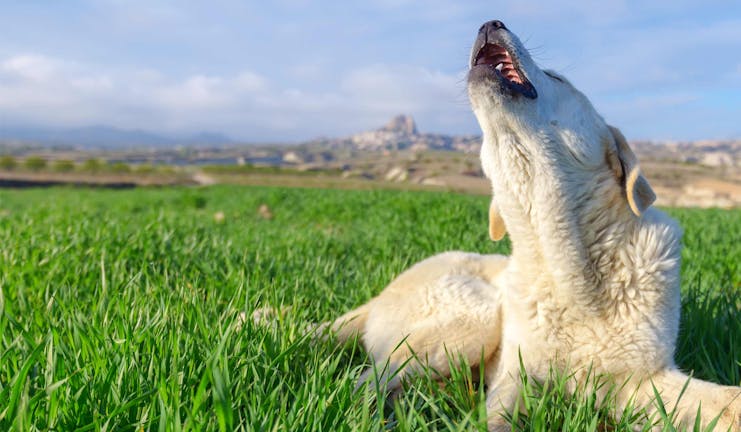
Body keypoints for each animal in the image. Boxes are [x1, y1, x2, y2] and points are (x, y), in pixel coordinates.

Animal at [304, 21, 736, 432]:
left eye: (556, 77)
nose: (488, 23)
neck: (572, 274)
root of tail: (378, 296)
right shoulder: (517, 378)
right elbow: (497, 420)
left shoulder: (644, 379)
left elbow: (728, 400)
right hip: (474, 317)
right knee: (366, 381)